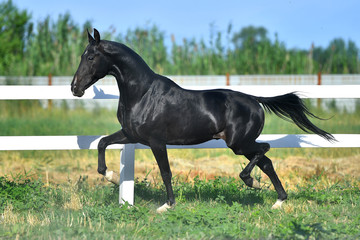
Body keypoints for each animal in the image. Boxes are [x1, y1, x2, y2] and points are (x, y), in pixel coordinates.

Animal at [70, 28, 334, 212]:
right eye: (82, 55)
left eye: (91, 57)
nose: (75, 88)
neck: (143, 94)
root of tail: (254, 99)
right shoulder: (131, 135)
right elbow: (102, 143)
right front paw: (112, 177)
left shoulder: (156, 141)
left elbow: (166, 172)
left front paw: (167, 206)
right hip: (241, 145)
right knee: (267, 162)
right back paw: (277, 201)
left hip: (239, 144)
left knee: (265, 150)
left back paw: (251, 181)